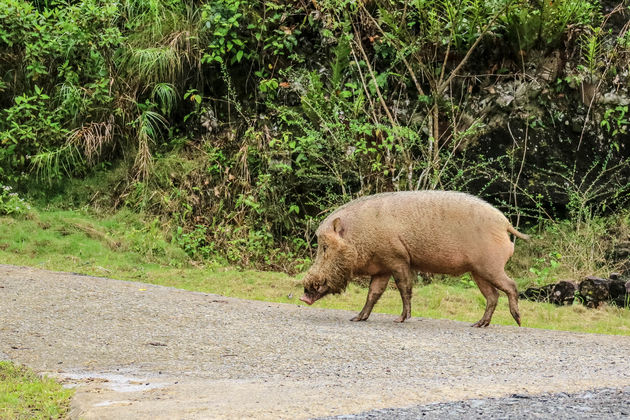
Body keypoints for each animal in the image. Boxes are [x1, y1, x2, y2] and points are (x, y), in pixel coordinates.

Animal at [304, 191, 532, 328]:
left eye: (324, 247)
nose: (303, 296)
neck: (360, 235)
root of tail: (506, 224)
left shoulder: (398, 259)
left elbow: (404, 288)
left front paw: (399, 319)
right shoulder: (382, 267)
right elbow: (374, 293)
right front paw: (356, 319)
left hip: (490, 267)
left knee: (511, 286)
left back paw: (518, 321)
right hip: (478, 272)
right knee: (492, 296)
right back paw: (478, 325)